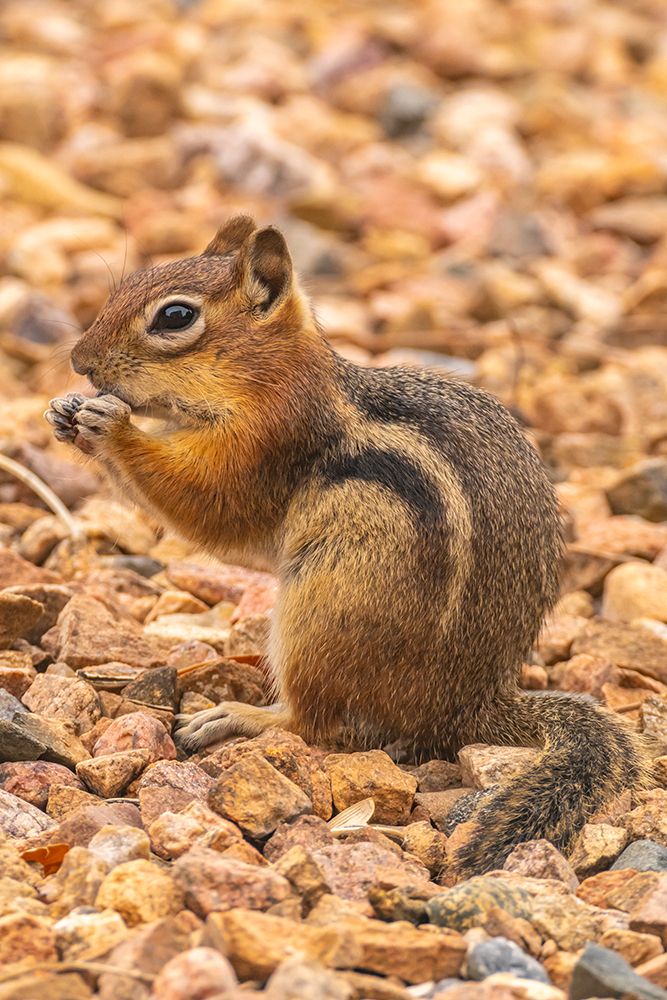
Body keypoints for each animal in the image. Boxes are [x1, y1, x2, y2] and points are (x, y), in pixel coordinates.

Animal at [46, 215, 648, 874]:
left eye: (175, 317)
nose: (79, 361)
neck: (273, 379)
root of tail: (469, 706)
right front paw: (65, 411)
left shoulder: (265, 445)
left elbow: (209, 501)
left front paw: (112, 426)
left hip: (323, 611)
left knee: (313, 724)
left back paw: (235, 716)